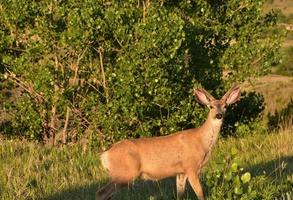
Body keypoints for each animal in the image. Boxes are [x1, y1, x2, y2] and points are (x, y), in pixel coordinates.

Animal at [96, 85, 240, 200]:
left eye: (225, 106)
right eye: (211, 107)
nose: (219, 115)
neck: (202, 142)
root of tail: (104, 155)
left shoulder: (181, 171)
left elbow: (180, 194)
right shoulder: (191, 166)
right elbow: (200, 193)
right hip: (125, 173)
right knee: (101, 193)